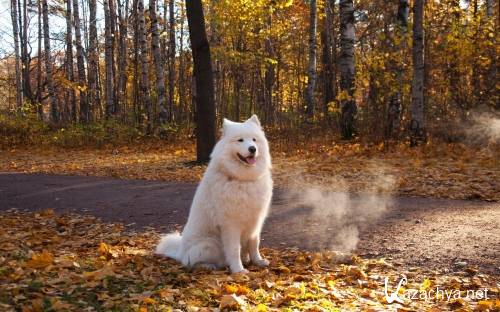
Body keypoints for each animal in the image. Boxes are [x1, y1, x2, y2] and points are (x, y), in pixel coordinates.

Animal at [156, 114, 274, 272]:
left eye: (254, 140)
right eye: (240, 140)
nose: (252, 149)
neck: (243, 179)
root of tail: (180, 251)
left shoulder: (256, 222)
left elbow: (254, 244)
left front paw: (258, 261)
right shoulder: (230, 225)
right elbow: (234, 249)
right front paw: (238, 270)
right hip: (209, 245)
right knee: (190, 263)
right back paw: (208, 266)